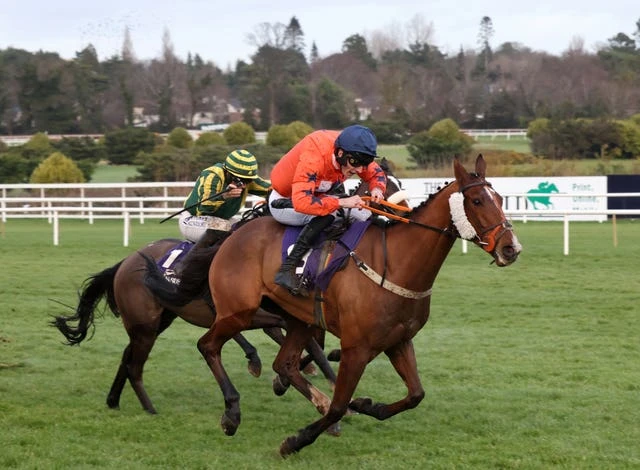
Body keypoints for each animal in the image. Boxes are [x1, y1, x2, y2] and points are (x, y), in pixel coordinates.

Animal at [52, 161, 408, 414]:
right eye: (389, 188)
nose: (404, 216)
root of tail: (124, 263)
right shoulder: (265, 313)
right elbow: (306, 346)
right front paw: (290, 377)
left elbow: (311, 346)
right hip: (147, 323)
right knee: (136, 358)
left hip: (157, 320)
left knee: (129, 355)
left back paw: (114, 399)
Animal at [152, 154, 524, 456]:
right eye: (477, 200)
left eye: (500, 198)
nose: (511, 248)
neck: (396, 263)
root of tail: (232, 235)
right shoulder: (357, 346)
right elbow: (340, 402)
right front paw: (295, 441)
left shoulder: (398, 340)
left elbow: (415, 394)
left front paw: (367, 405)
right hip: (237, 311)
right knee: (208, 345)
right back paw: (232, 413)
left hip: (298, 318)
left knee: (284, 363)